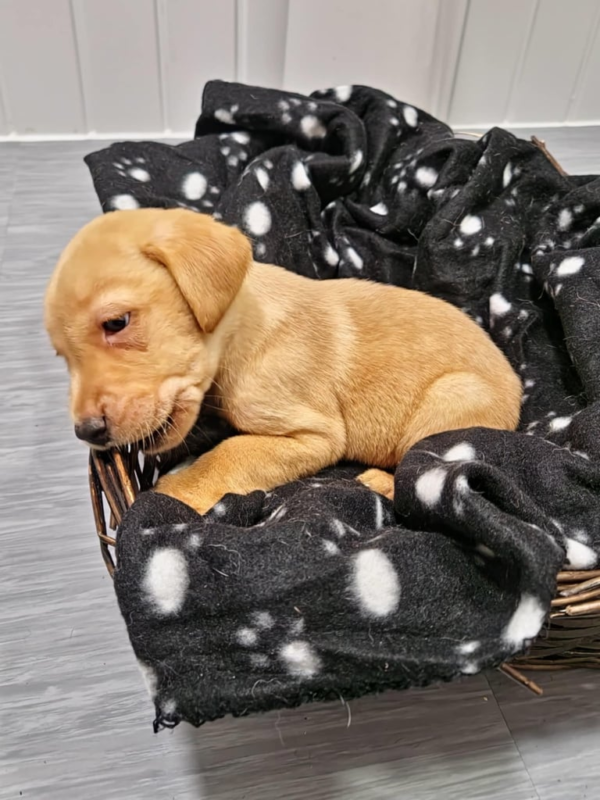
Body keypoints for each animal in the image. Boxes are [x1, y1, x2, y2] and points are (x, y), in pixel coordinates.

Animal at [44, 209, 520, 516]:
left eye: (116, 322)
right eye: (61, 355)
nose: (87, 432)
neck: (242, 334)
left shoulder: (312, 434)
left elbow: (231, 453)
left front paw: (178, 490)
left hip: (452, 399)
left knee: (419, 465)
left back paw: (380, 482)